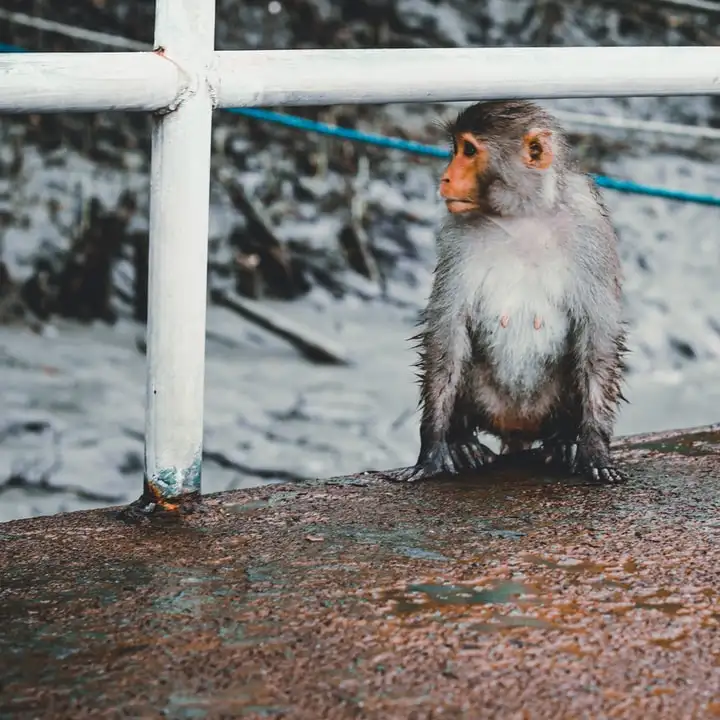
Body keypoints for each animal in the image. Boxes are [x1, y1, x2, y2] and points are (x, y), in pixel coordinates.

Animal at [390, 100, 628, 484]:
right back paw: (462, 440)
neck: (524, 214)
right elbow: (447, 331)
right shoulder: (456, 237)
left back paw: (564, 440)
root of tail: (517, 428)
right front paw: (434, 446)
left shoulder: (590, 229)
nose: (445, 178)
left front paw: (594, 446)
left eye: (469, 151)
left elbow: (597, 333)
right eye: (456, 149)